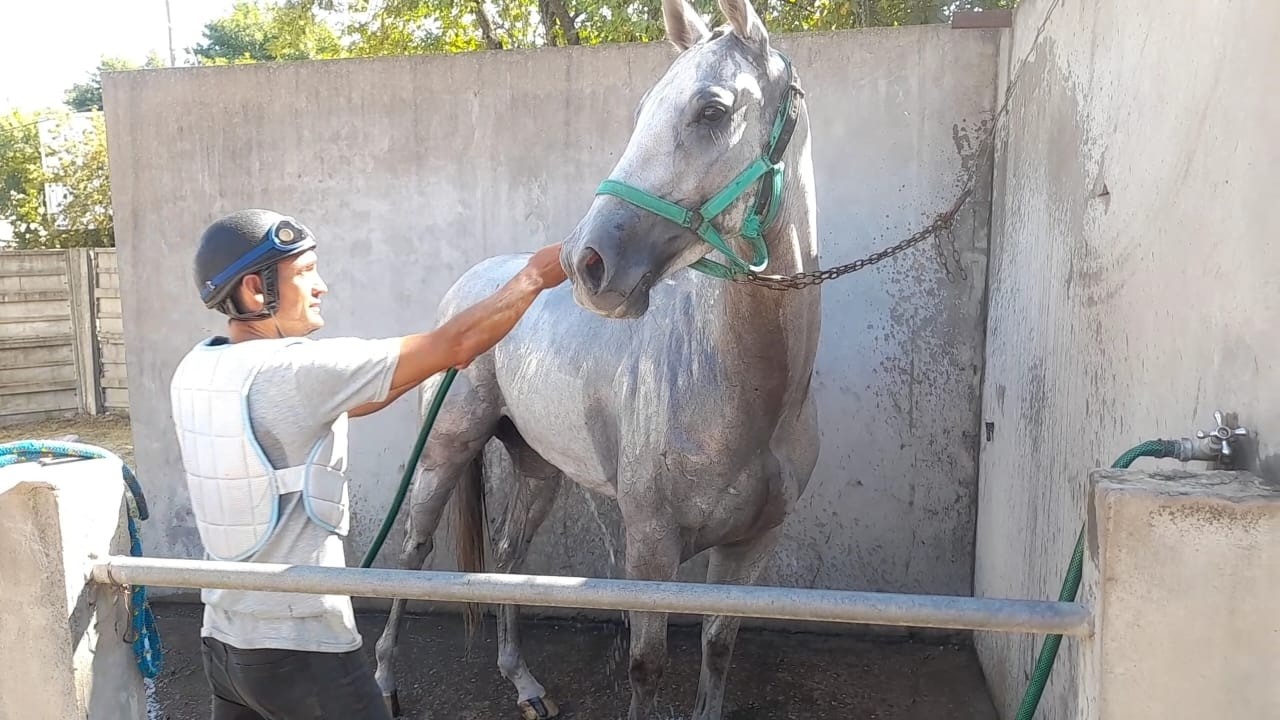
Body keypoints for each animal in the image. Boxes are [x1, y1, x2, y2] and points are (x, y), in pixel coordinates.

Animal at [373, 0, 821, 717]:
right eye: (643, 108)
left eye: (713, 110)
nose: (586, 262)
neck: (747, 393)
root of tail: (469, 288)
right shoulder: (651, 549)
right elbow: (646, 666)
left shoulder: (753, 546)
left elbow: (719, 649)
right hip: (446, 450)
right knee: (414, 553)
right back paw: (387, 679)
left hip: (537, 467)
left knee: (510, 555)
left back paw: (524, 682)